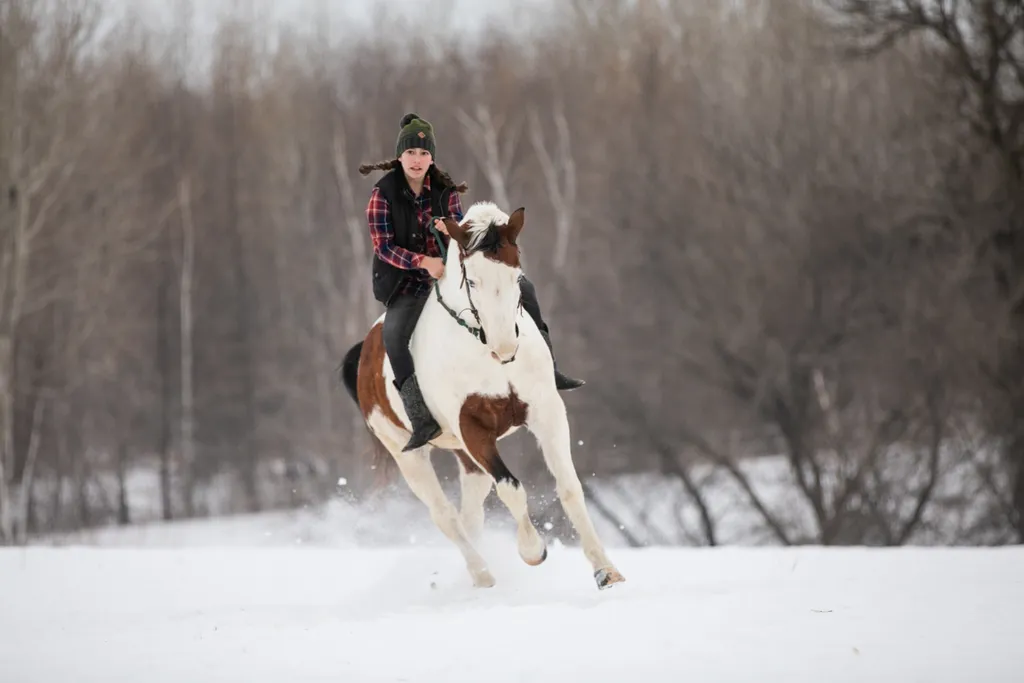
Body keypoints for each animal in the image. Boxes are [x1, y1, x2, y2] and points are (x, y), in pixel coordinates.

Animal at [339, 201, 626, 591]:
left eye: (517, 276)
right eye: (471, 280)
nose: (505, 348)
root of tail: (364, 350)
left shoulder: (547, 413)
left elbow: (569, 487)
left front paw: (605, 570)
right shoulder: (472, 427)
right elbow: (511, 488)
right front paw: (533, 551)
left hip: (464, 456)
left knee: (469, 512)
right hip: (407, 453)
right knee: (444, 514)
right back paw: (482, 574)